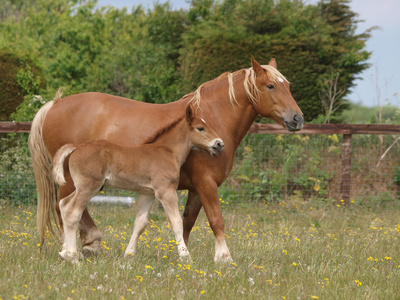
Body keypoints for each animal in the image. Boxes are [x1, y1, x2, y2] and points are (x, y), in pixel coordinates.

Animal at [28, 56, 304, 262]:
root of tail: (54, 105)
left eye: (288, 86)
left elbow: (186, 222)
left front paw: (182, 254)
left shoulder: (194, 189)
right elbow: (215, 219)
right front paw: (223, 258)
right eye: (271, 86)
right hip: (73, 182)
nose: (297, 118)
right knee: (65, 209)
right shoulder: (206, 184)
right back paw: (76, 249)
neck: (214, 115)